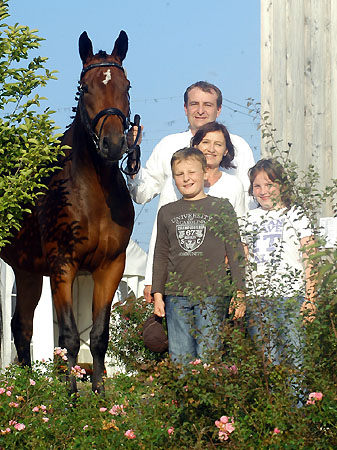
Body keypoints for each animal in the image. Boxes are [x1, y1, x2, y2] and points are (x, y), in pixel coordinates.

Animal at [0, 29, 134, 392]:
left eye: (126, 85)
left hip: (27, 272)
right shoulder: (63, 266)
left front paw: (100, 397)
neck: (92, 193)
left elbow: (99, 336)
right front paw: (71, 398)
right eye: (85, 87)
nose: (113, 144)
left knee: (22, 327)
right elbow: (70, 338)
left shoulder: (110, 267)